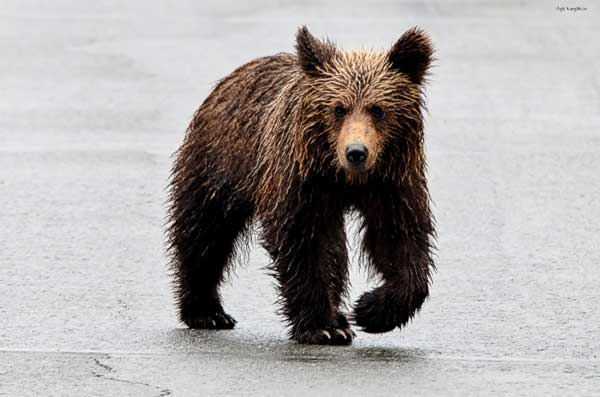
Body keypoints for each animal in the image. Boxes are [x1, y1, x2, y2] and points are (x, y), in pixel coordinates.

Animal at [166, 26, 434, 344]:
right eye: (338, 109)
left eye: (378, 109)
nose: (356, 152)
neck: (345, 179)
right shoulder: (300, 180)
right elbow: (302, 242)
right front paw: (322, 327)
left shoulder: (392, 182)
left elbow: (398, 239)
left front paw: (371, 311)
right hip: (220, 162)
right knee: (205, 232)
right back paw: (207, 312)